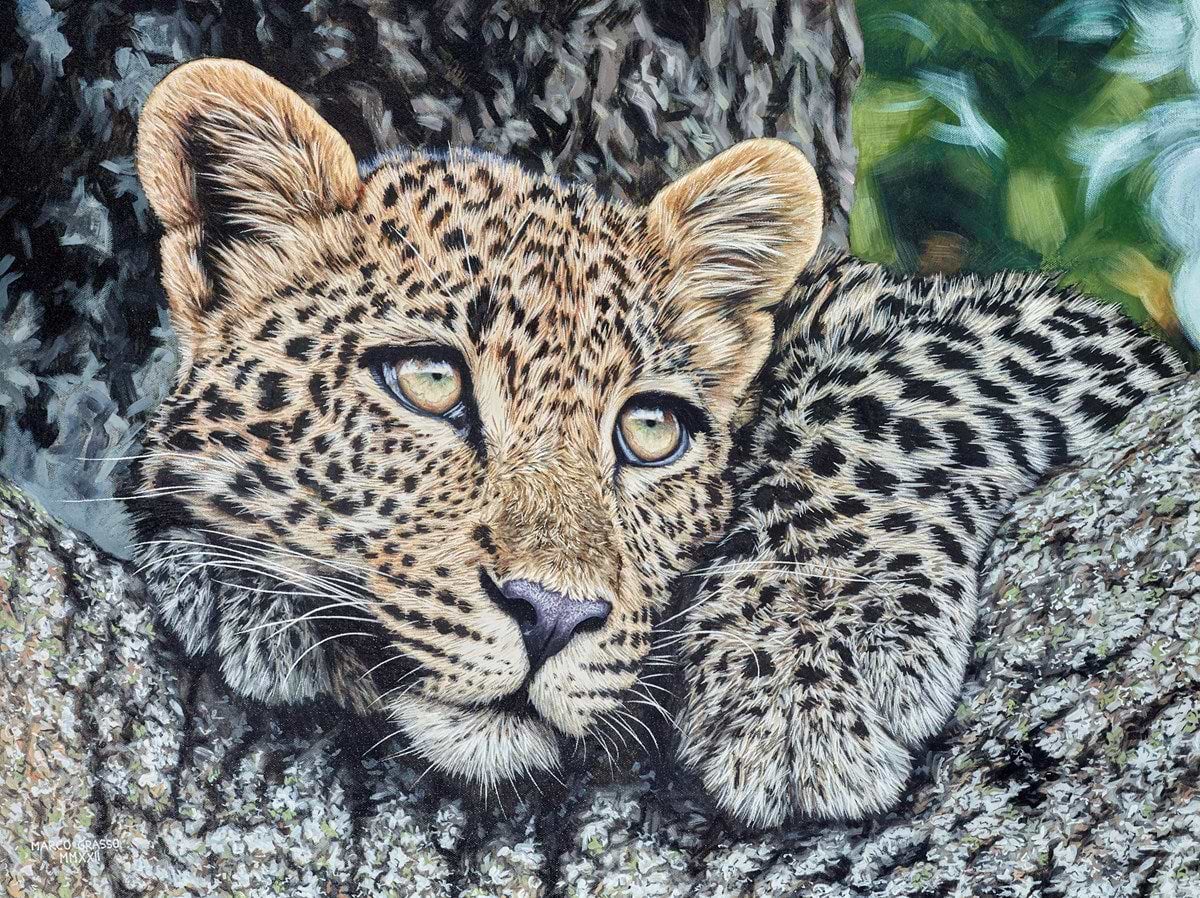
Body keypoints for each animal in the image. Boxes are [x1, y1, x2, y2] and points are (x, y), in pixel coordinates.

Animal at [127, 58, 1185, 831]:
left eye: (650, 431)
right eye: (428, 381)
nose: (550, 615)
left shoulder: (1082, 340)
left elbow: (894, 382)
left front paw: (804, 668)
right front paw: (241, 579)